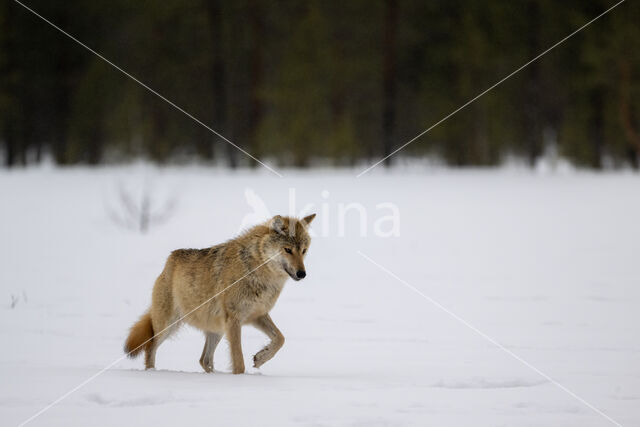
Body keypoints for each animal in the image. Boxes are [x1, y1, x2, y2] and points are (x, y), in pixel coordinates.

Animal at [122, 214, 316, 374]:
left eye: (304, 250)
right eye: (288, 250)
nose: (302, 273)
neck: (257, 270)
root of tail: (168, 262)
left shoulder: (257, 315)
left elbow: (280, 339)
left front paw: (261, 358)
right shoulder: (235, 319)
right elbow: (239, 362)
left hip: (216, 330)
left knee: (204, 360)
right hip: (170, 325)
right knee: (151, 347)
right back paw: (152, 374)